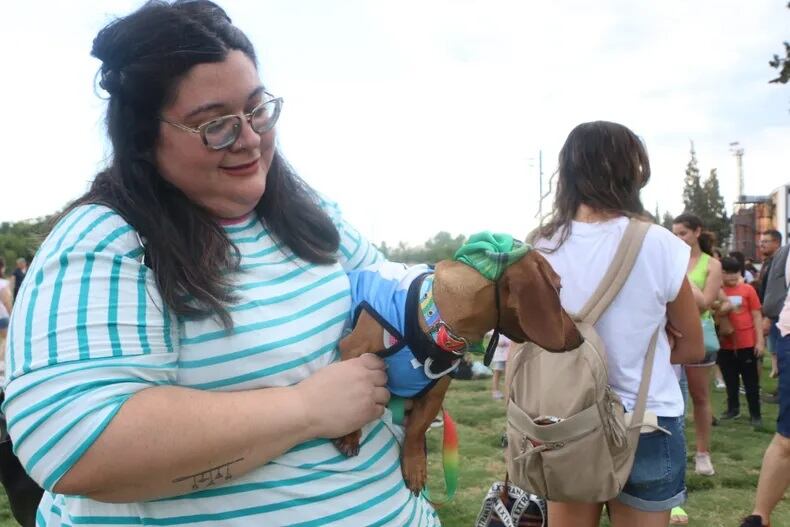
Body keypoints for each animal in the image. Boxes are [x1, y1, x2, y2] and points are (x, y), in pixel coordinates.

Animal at [332, 250, 580, 492]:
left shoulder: (433, 397)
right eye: (558, 288)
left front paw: (415, 465)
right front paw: (350, 435)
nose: (580, 338)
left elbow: (416, 431)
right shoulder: (354, 351)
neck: (437, 323)